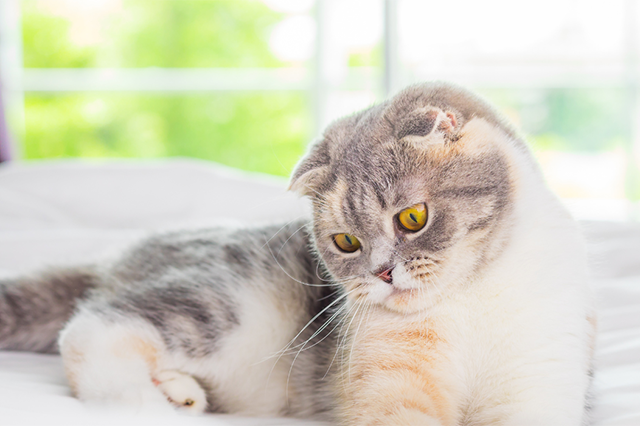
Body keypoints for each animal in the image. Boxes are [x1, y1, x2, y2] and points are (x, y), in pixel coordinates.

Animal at [2, 81, 596, 424]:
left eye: (412, 218)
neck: (470, 299)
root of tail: (117, 258)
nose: (382, 273)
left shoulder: (540, 376)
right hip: (223, 302)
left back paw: (179, 393)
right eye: (346, 241)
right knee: (95, 327)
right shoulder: (387, 378)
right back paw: (138, 404)